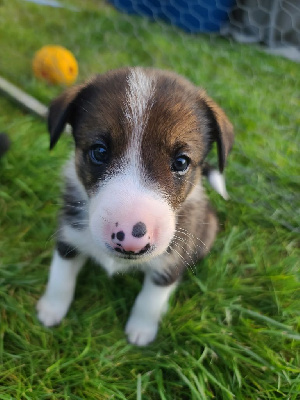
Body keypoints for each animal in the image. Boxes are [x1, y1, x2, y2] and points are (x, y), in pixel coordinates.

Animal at [37, 67, 234, 346]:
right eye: (99, 151)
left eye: (181, 162)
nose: (131, 239)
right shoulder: (69, 234)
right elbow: (60, 275)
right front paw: (51, 309)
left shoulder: (171, 259)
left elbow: (151, 299)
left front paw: (142, 330)